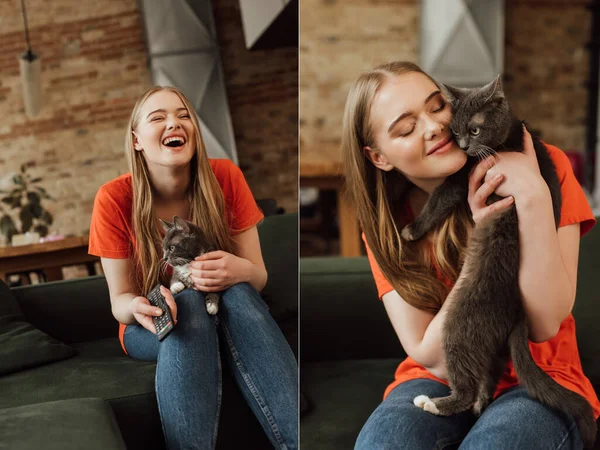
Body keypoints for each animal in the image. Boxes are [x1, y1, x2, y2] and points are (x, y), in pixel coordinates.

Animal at [404, 77, 596, 446]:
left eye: (475, 129)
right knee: (487, 373)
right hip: (490, 344)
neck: (510, 134)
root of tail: (518, 312)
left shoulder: (465, 174)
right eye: (455, 130)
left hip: (461, 323)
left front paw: (411, 230)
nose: (463, 146)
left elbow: (440, 198)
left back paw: (434, 403)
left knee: (465, 382)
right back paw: (481, 402)